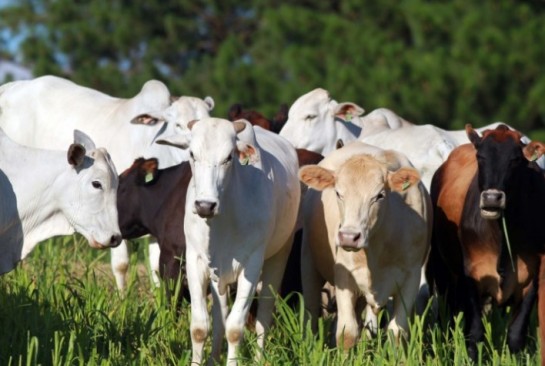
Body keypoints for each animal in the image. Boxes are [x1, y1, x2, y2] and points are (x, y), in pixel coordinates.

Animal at [155, 118, 300, 364]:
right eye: (192, 154)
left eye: (228, 157)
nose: (205, 205)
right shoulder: (195, 261)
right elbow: (200, 327)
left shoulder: (252, 265)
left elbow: (235, 328)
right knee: (219, 318)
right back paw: (214, 359)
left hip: (279, 256)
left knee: (263, 318)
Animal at [298, 140, 430, 348]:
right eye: (338, 193)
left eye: (379, 195)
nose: (349, 237)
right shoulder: (344, 276)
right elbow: (347, 332)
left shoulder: (412, 277)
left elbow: (397, 332)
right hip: (309, 262)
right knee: (311, 311)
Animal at [424, 123, 544, 364]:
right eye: (481, 157)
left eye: (515, 160)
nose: (491, 198)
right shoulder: (473, 276)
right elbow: (475, 332)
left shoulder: (531, 279)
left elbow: (516, 335)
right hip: (441, 270)